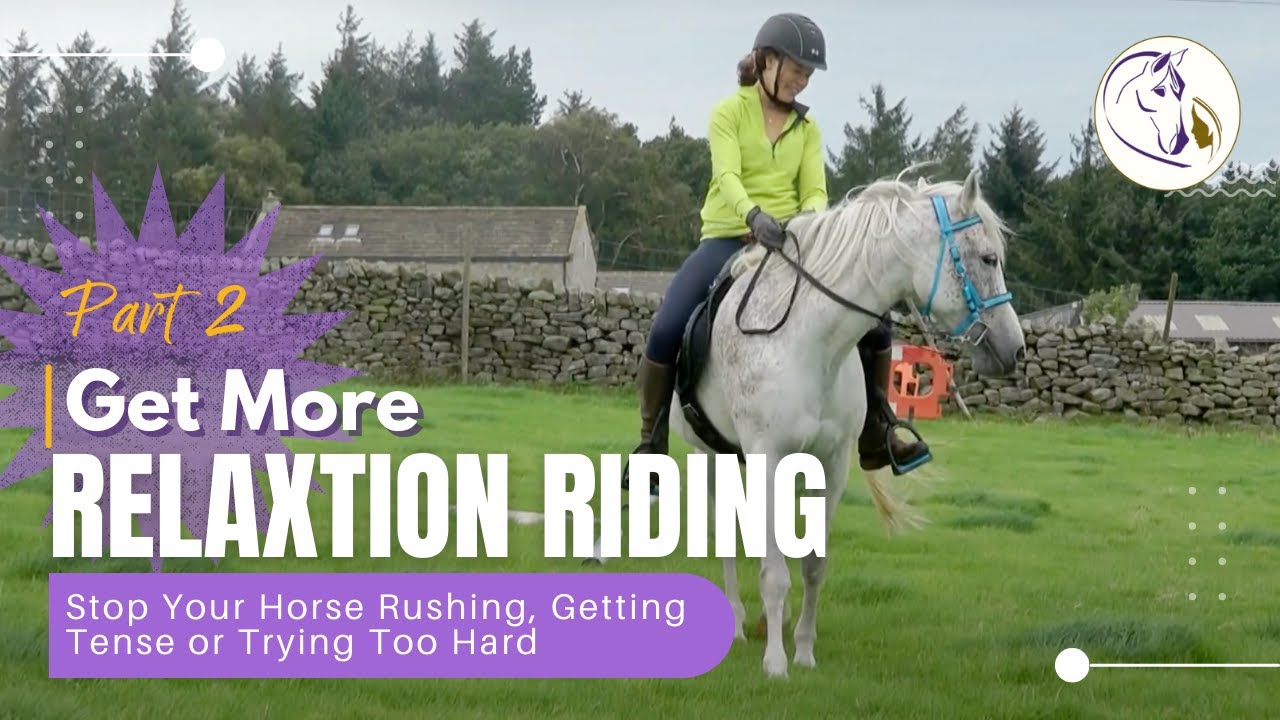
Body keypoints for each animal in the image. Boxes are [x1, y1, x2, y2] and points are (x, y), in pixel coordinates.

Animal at [665, 165, 1026, 678]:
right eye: (988, 257)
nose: (1014, 348)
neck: (809, 342)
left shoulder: (830, 464)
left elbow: (813, 564)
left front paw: (803, 651)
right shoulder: (766, 458)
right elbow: (773, 573)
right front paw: (776, 663)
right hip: (713, 458)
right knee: (727, 538)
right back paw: (735, 622)